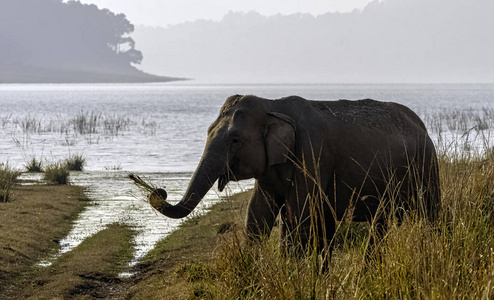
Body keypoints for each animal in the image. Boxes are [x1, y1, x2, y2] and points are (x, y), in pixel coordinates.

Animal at [150, 95, 440, 254]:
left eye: (235, 141)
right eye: (209, 131)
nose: (158, 191)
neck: (271, 104)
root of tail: (422, 126)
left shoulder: (311, 155)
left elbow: (299, 217)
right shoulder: (270, 168)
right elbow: (258, 215)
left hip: (426, 165)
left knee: (430, 213)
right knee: (381, 222)